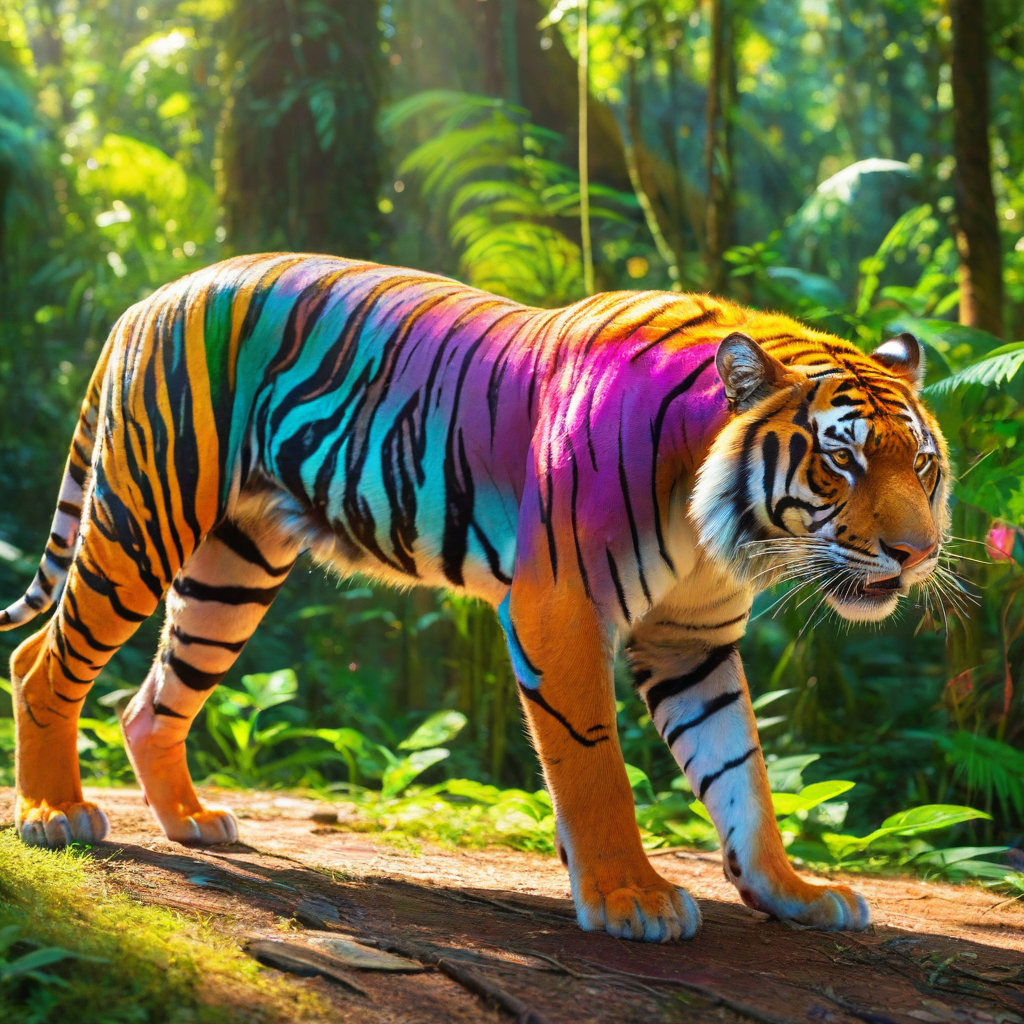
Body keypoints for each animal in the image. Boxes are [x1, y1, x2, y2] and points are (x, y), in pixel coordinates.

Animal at [2, 253, 948, 943]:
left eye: (923, 466)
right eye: (842, 460)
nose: (918, 553)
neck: (724, 530)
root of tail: (152, 296)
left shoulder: (692, 642)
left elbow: (740, 773)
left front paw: (791, 891)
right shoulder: (560, 609)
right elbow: (595, 767)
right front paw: (629, 898)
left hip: (230, 575)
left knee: (149, 703)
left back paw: (192, 820)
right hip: (143, 519)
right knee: (41, 657)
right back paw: (55, 814)